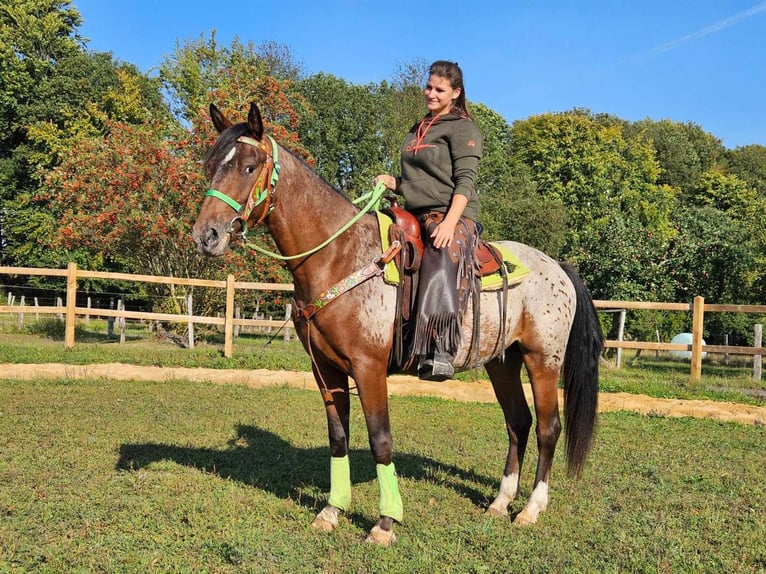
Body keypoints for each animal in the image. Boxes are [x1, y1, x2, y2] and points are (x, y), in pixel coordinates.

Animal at [192, 103, 608, 548]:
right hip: (502, 362)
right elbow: (338, 439)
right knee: (519, 423)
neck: (340, 255)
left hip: (543, 360)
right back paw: (500, 503)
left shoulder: (369, 368)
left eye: (249, 166)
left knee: (548, 428)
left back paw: (530, 509)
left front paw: (385, 523)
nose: (206, 235)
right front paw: (332, 510)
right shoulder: (327, 371)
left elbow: (381, 441)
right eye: (211, 165)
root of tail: (558, 267)